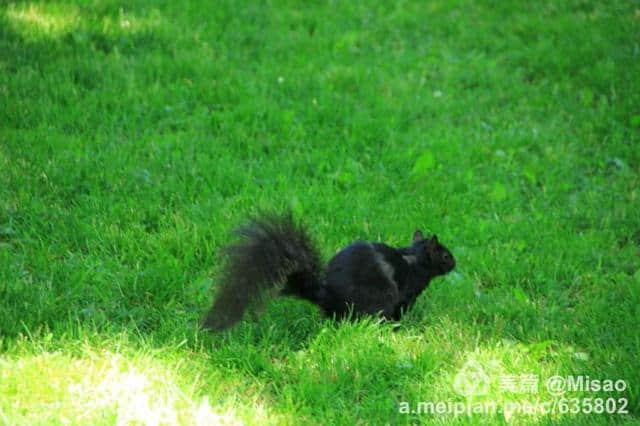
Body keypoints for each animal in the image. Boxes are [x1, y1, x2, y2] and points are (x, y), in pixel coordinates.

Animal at [201, 212, 456, 330]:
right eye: (445, 256)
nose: (455, 263)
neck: (414, 258)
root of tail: (326, 293)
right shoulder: (408, 292)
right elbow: (403, 308)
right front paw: (403, 325)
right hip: (379, 298)